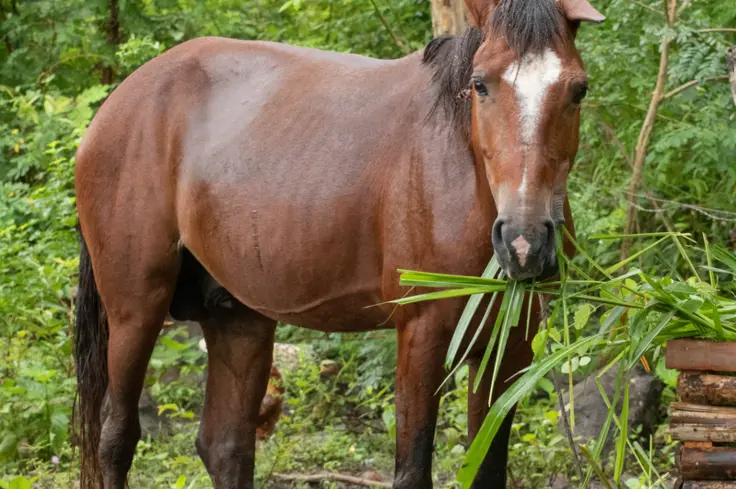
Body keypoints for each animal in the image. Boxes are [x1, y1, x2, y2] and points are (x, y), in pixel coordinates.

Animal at [73, 0, 604, 486]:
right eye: (480, 84)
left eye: (578, 90)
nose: (524, 242)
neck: (460, 171)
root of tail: (119, 103)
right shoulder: (422, 334)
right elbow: (412, 471)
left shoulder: (510, 347)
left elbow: (487, 471)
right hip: (135, 309)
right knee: (117, 438)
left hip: (238, 317)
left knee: (224, 447)